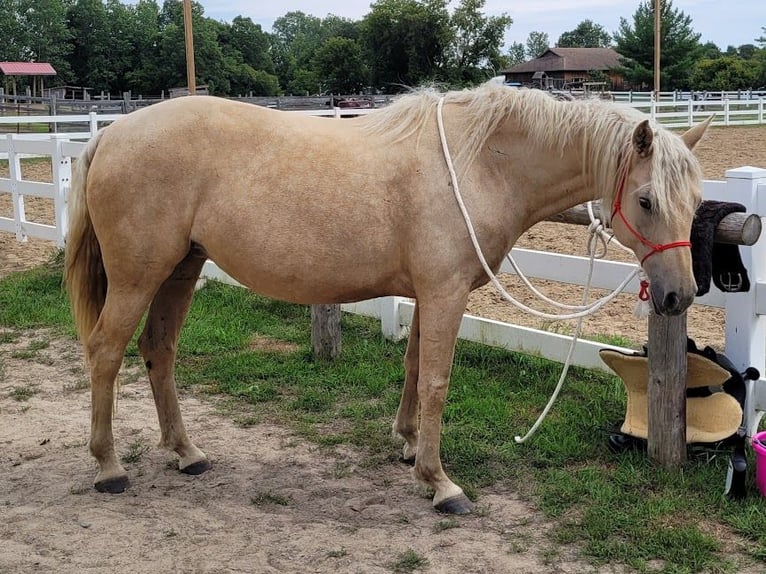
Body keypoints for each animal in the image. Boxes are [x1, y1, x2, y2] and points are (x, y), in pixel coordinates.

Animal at [66, 83, 712, 516]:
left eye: (696, 199)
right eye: (648, 201)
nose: (680, 295)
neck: (480, 165)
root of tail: (109, 133)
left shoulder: (428, 294)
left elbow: (412, 367)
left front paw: (408, 447)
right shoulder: (446, 293)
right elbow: (437, 382)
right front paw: (440, 481)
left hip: (182, 269)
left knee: (158, 351)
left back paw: (186, 452)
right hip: (139, 277)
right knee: (105, 352)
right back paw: (108, 466)